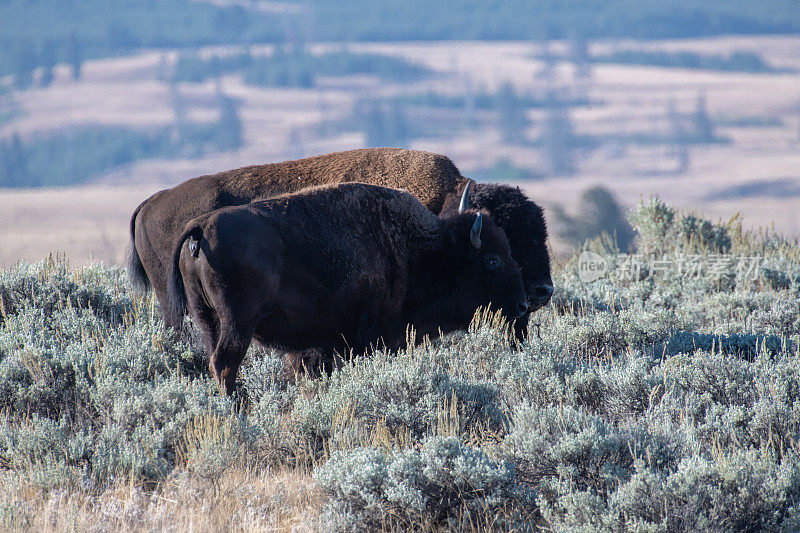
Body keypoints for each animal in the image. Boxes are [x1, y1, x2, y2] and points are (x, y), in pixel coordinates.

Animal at [168, 181, 528, 392]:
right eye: (493, 260)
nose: (523, 305)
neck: (421, 248)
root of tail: (202, 226)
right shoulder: (373, 334)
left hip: (207, 319)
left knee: (213, 361)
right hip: (237, 322)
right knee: (226, 364)